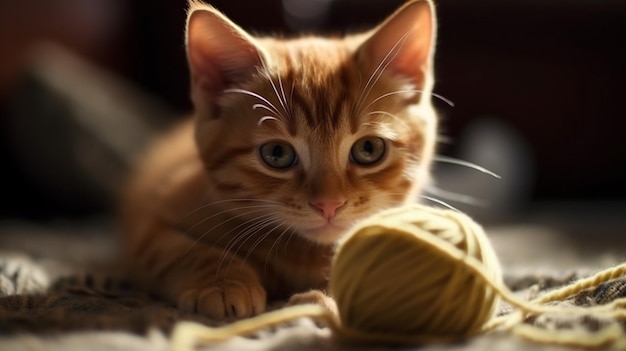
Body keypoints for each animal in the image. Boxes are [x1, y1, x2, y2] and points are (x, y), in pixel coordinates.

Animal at [119, 0, 436, 320]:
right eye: (277, 154)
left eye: (369, 149)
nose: (329, 205)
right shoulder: (147, 227)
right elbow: (181, 250)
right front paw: (223, 283)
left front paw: (323, 299)